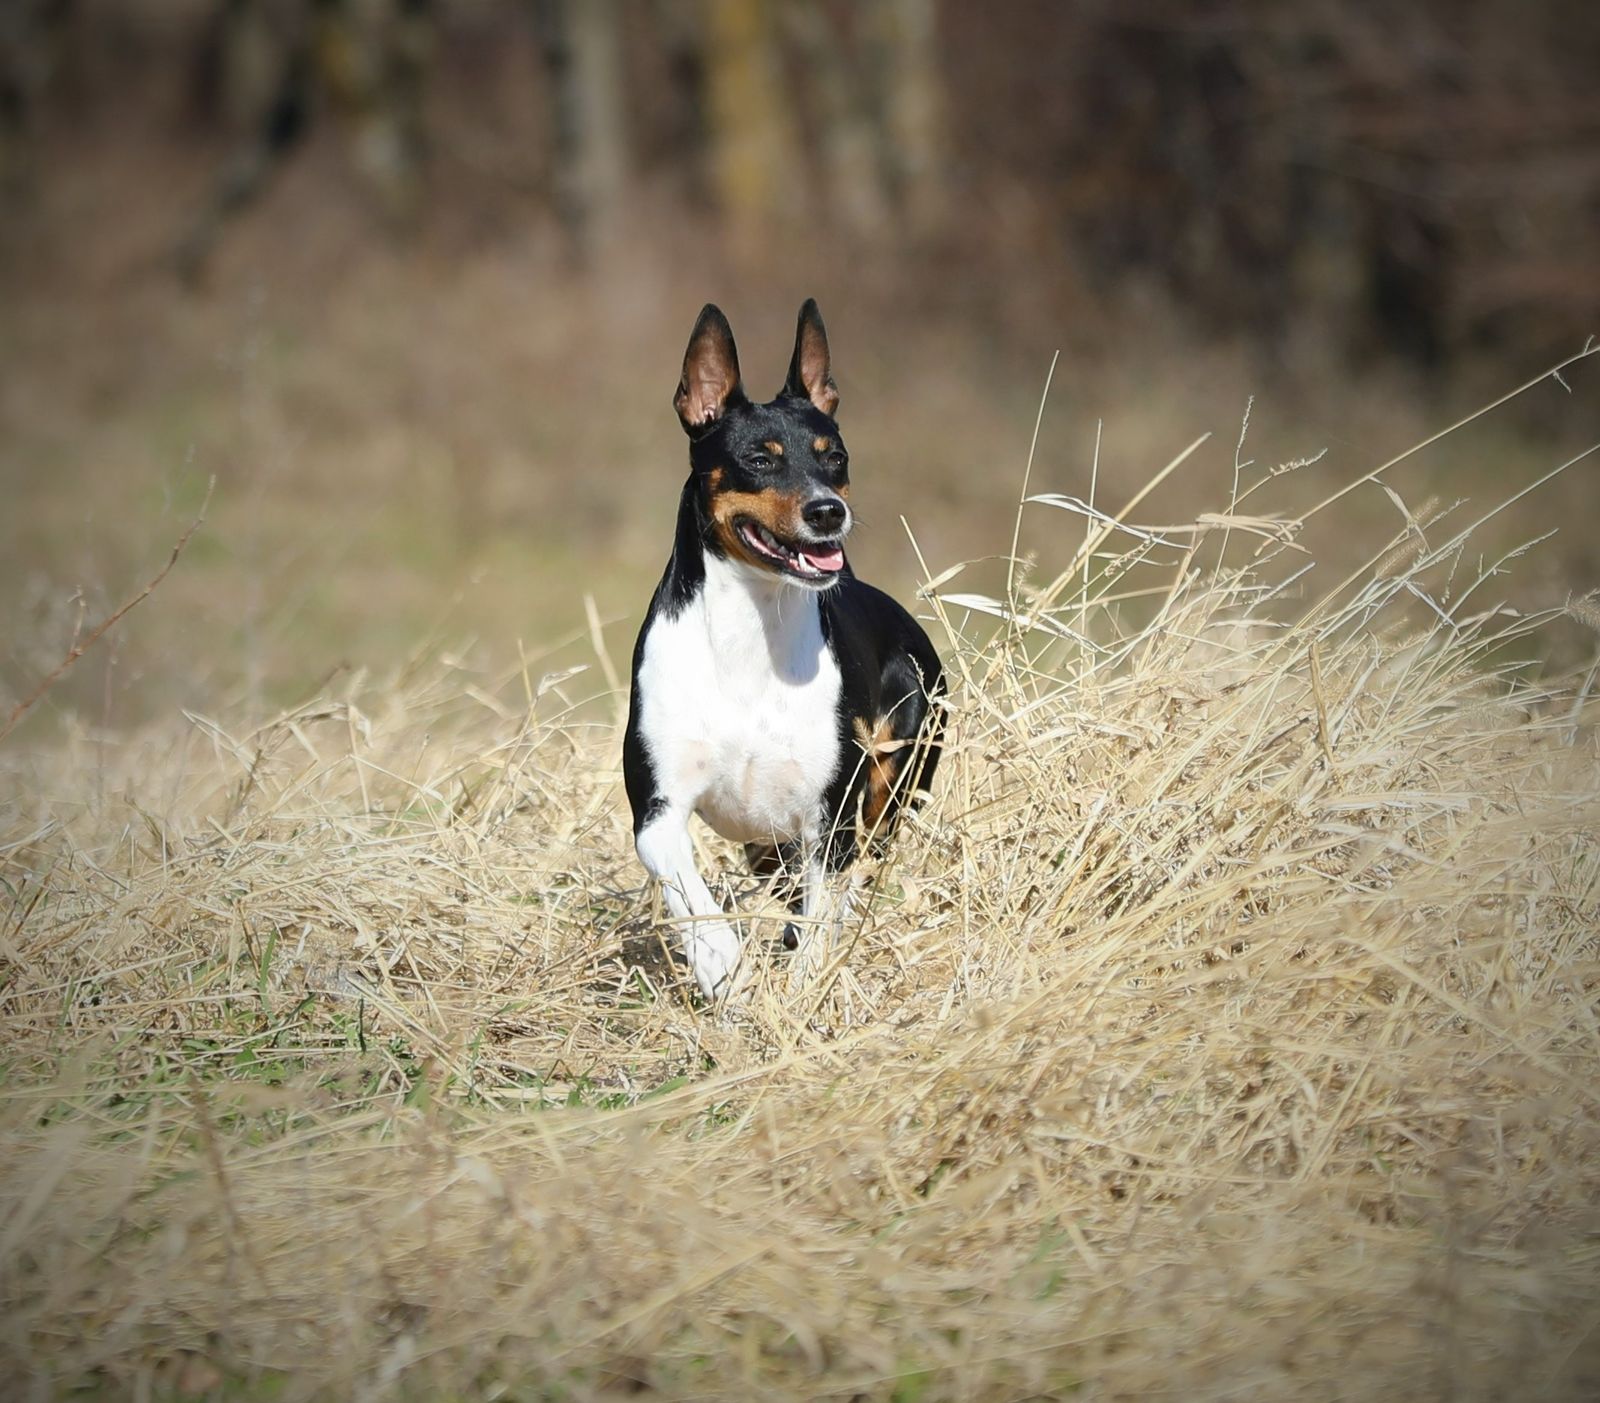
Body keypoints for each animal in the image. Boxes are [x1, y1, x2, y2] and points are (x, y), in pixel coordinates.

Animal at [624, 297, 940, 998]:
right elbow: (688, 891)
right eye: (760, 459)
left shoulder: (830, 815)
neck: (752, 631)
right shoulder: (657, 810)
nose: (827, 512)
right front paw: (719, 963)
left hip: (898, 765)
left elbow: (824, 907)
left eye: (835, 457)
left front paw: (802, 985)